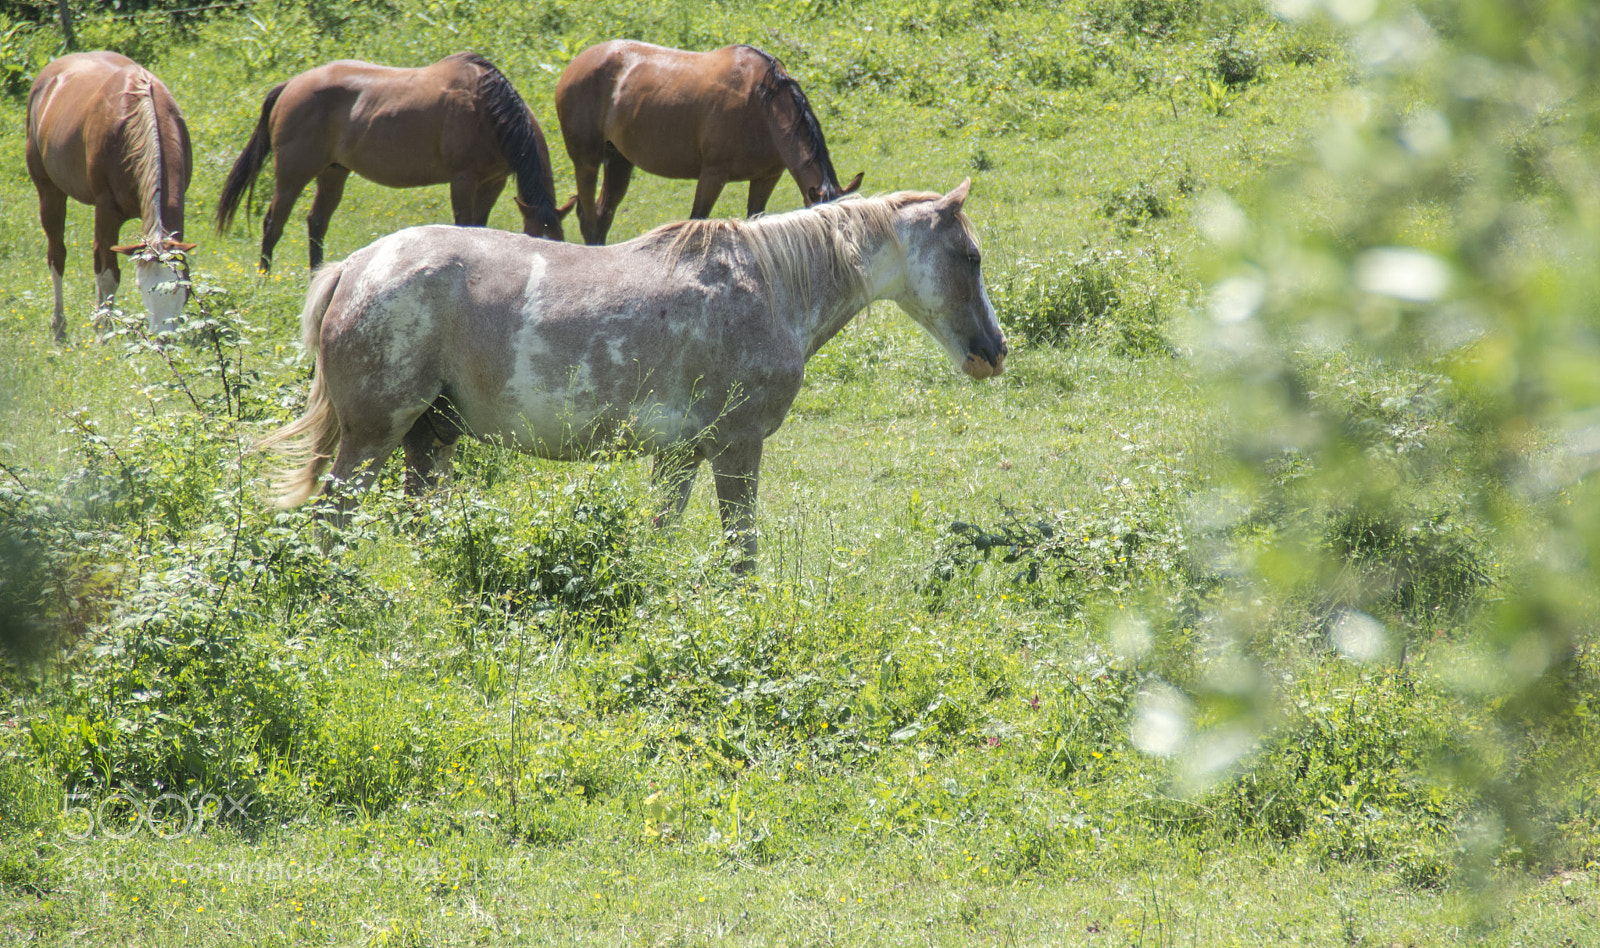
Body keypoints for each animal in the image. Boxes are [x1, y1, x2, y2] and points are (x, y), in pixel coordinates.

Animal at [26, 51, 196, 343]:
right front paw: (104, 331)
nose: (163, 338)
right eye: (142, 288)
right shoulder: (106, 211)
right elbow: (109, 275)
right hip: (49, 193)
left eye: (178, 287)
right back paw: (59, 326)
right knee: (57, 255)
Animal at [214, 51, 572, 272]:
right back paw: (264, 277)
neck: (489, 111)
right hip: (292, 175)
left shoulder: (493, 181)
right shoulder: (463, 179)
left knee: (316, 222)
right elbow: (464, 225)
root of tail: (290, 85)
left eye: (559, 242)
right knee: (273, 223)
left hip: (333, 173)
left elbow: (480, 227)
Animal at [258, 180, 1005, 572]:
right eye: (968, 257)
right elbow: (741, 551)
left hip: (429, 438)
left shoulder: (678, 455)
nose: (993, 351)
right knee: (333, 512)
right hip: (374, 435)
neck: (767, 287)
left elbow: (659, 535)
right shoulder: (737, 448)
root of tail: (355, 267)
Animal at [554, 41, 864, 245]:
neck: (762, 104)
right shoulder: (713, 175)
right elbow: (696, 222)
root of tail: (575, 65)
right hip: (586, 161)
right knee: (590, 218)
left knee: (603, 216)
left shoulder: (767, 177)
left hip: (618, 160)